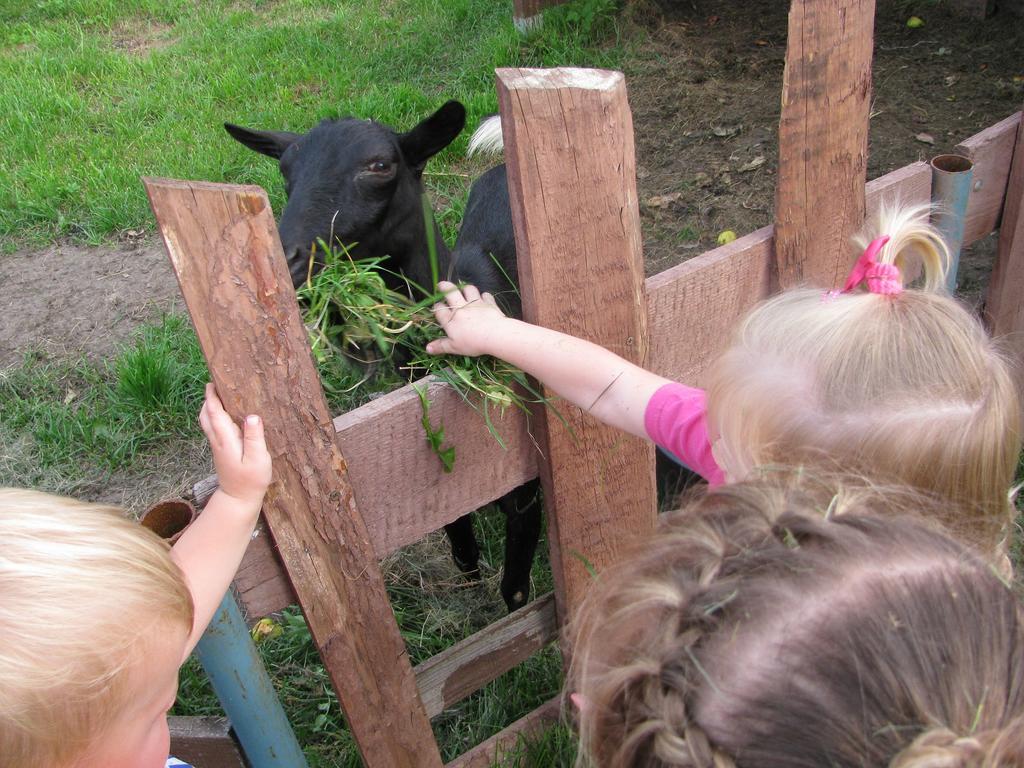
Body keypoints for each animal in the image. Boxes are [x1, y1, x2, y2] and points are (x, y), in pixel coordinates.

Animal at [225, 103, 544, 614]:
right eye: (285, 169)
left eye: (379, 165)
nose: (288, 260)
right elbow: (461, 546)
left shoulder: (527, 483)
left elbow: (515, 591)